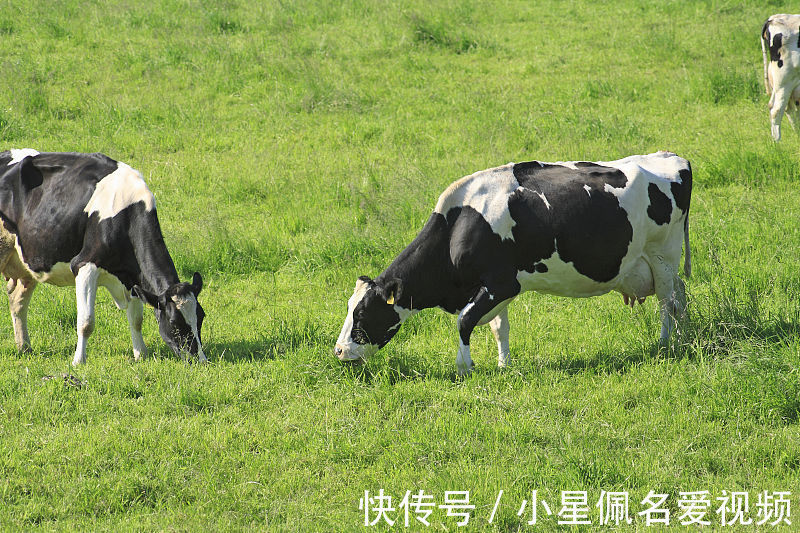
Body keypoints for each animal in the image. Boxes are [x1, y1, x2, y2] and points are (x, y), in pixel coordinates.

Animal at [0, 150, 208, 366]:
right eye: (175, 321)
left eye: (201, 316)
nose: (200, 359)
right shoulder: (84, 265)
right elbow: (86, 322)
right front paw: (78, 361)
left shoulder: (131, 278)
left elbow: (136, 320)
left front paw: (141, 354)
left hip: (26, 260)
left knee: (17, 302)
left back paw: (24, 347)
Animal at [334, 151, 692, 374]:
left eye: (362, 313)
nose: (338, 351)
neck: (459, 225)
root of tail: (672, 157)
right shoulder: (497, 287)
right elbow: (498, 327)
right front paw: (504, 365)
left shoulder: (501, 283)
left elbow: (464, 321)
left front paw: (464, 367)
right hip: (660, 265)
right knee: (681, 297)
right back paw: (682, 338)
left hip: (662, 255)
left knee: (667, 302)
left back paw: (664, 345)